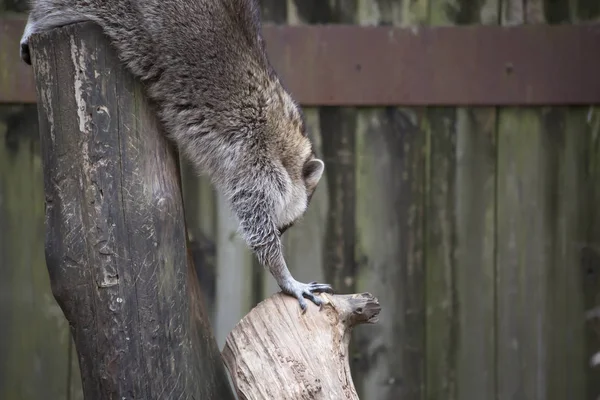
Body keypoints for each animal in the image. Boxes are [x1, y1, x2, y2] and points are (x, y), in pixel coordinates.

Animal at [21, 0, 332, 310]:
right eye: (289, 223)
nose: (284, 233)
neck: (286, 144)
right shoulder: (256, 160)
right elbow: (258, 227)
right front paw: (284, 273)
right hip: (128, 17)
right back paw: (36, 21)